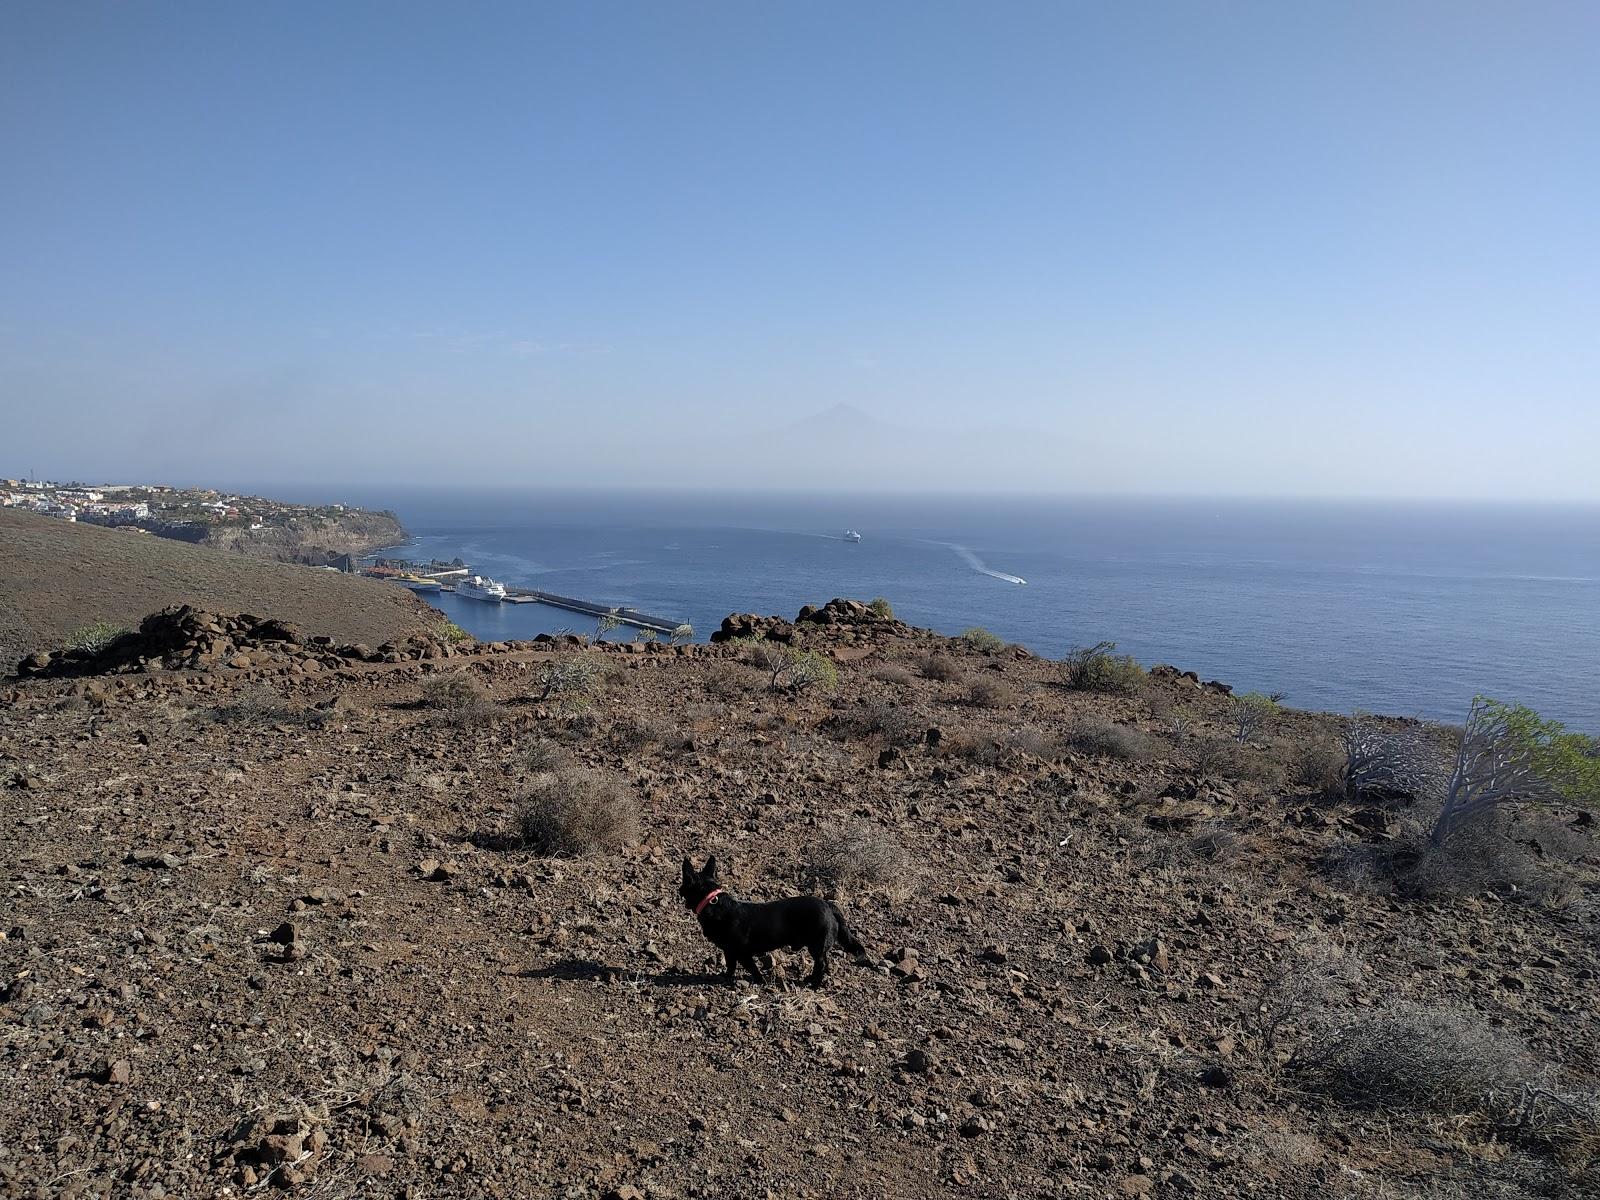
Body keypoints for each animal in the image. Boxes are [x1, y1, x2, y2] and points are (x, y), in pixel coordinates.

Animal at [681, 857, 870, 992]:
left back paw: (814, 985)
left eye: (683, 883)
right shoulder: (729, 951)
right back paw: (811, 980)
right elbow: (730, 965)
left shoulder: (742, 952)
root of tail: (829, 905)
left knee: (822, 964)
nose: (678, 890)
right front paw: (726, 977)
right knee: (821, 964)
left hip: (816, 945)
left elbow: (752, 968)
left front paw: (760, 981)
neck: (712, 902)